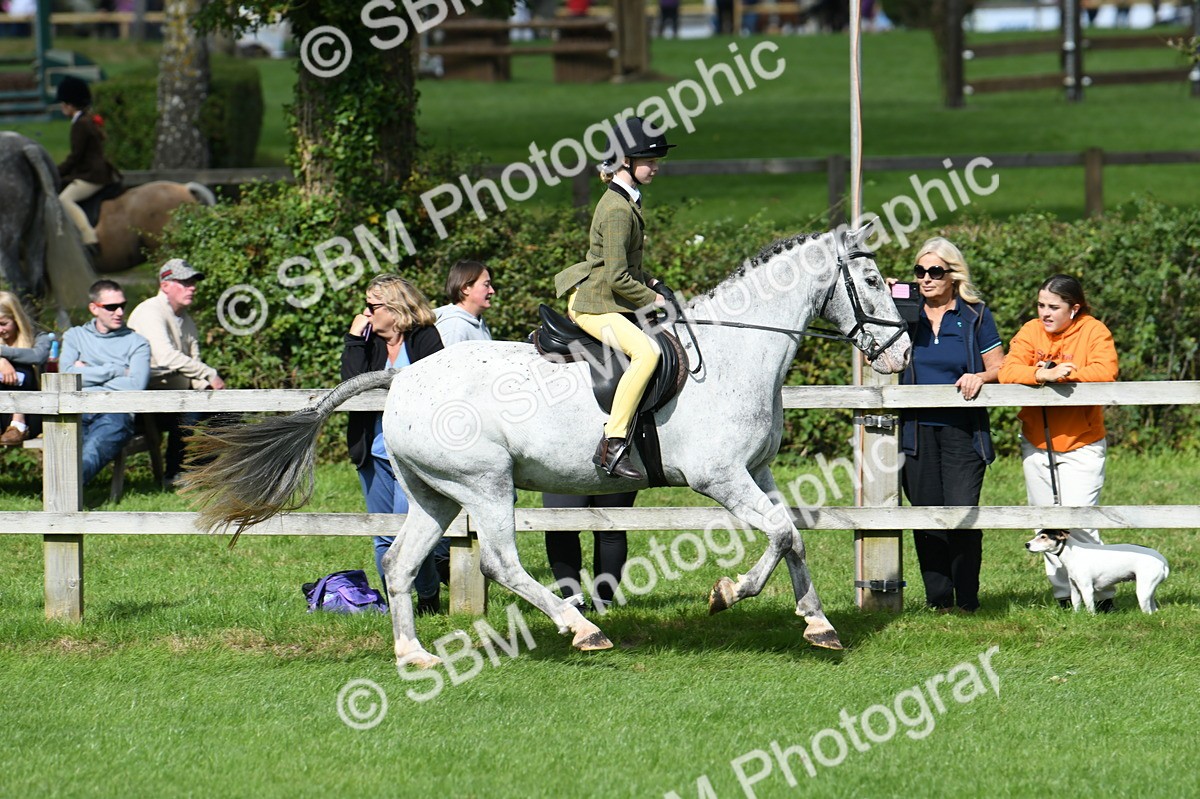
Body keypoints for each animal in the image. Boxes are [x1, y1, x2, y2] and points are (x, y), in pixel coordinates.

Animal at [182, 223, 912, 669]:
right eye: (876, 282)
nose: (902, 352)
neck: (738, 349)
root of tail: (403, 376)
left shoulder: (756, 471)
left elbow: (792, 533)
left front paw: (815, 623)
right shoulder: (721, 477)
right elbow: (782, 533)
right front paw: (729, 593)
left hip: (432, 494)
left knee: (399, 565)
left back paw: (413, 655)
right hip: (486, 483)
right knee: (500, 561)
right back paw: (581, 627)